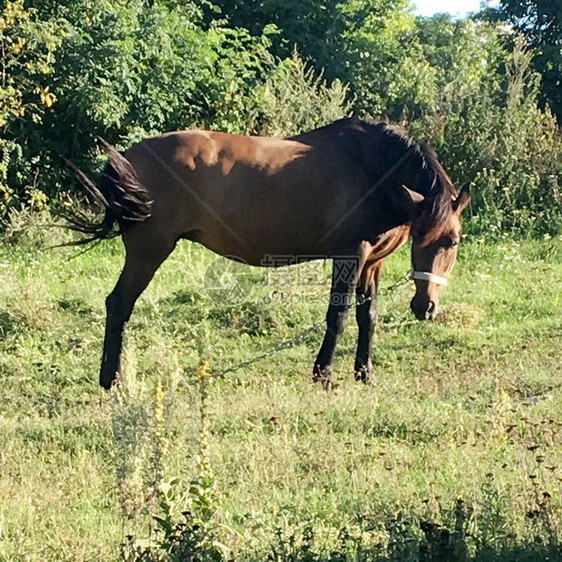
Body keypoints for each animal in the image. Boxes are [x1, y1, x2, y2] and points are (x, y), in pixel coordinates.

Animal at [68, 117, 466, 388]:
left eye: (451, 241)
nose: (425, 307)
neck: (373, 170)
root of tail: (126, 157)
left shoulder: (373, 262)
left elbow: (367, 316)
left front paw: (364, 373)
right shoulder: (349, 255)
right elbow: (337, 315)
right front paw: (324, 374)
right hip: (149, 250)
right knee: (119, 304)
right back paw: (111, 379)